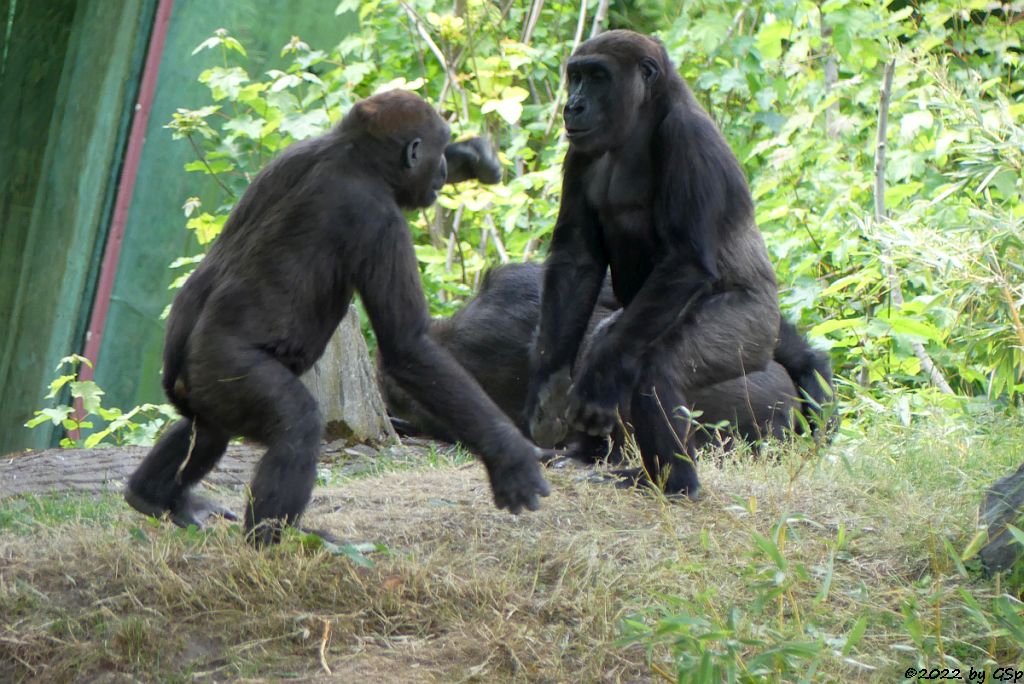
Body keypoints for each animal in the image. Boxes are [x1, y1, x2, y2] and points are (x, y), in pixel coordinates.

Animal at [128, 89, 552, 544]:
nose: (441, 169)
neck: (351, 152)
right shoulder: (381, 220)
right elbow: (408, 346)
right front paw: (510, 455)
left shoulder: (292, 155)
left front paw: (471, 157)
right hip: (223, 369)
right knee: (296, 425)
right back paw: (274, 540)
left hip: (195, 387)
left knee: (204, 430)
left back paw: (150, 495)